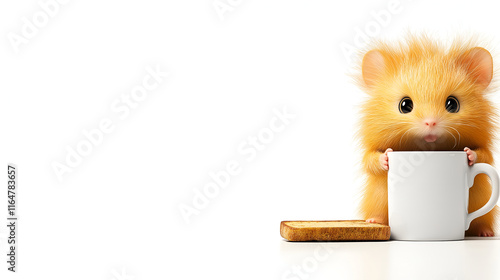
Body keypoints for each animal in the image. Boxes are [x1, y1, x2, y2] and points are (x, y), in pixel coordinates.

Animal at [358, 35, 498, 236]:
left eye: (453, 104)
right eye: (405, 105)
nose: (430, 123)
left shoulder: (485, 149)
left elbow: (484, 154)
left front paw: (468, 153)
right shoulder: (370, 151)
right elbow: (370, 159)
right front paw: (387, 157)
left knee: (480, 222)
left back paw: (485, 233)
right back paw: (373, 221)